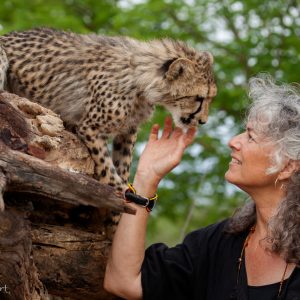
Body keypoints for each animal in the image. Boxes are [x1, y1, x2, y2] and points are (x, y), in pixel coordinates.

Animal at [0, 28, 217, 192]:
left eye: (210, 98)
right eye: (199, 98)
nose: (203, 121)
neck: (141, 81)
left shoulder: (128, 131)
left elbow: (123, 163)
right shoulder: (90, 127)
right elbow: (106, 166)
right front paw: (122, 192)